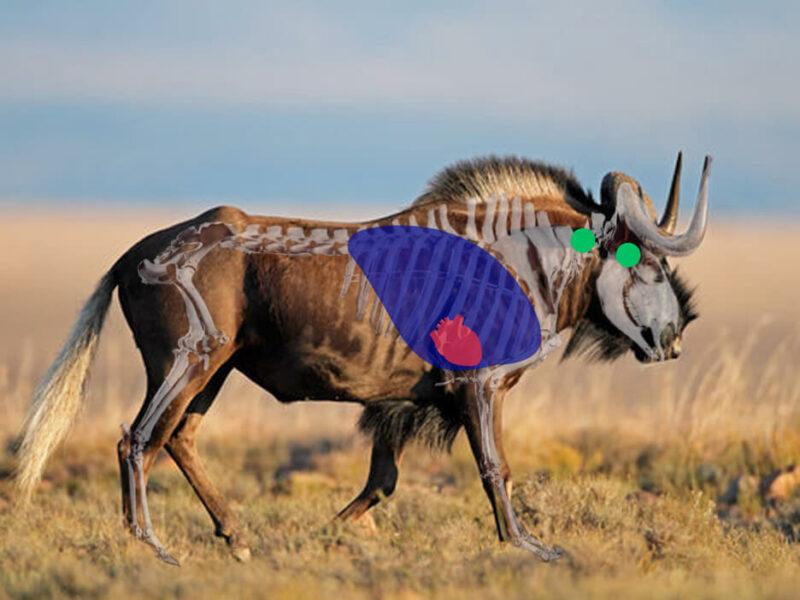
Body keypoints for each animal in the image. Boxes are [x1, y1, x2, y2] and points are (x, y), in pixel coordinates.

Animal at [15, 153, 709, 565]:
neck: (518, 259)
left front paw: (326, 531)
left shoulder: (401, 402)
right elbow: (496, 469)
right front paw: (526, 546)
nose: (674, 338)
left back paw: (235, 537)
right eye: (645, 261)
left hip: (215, 371)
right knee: (137, 440)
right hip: (186, 364)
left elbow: (383, 480)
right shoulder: (479, 389)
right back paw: (151, 548)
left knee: (178, 439)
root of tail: (133, 253)